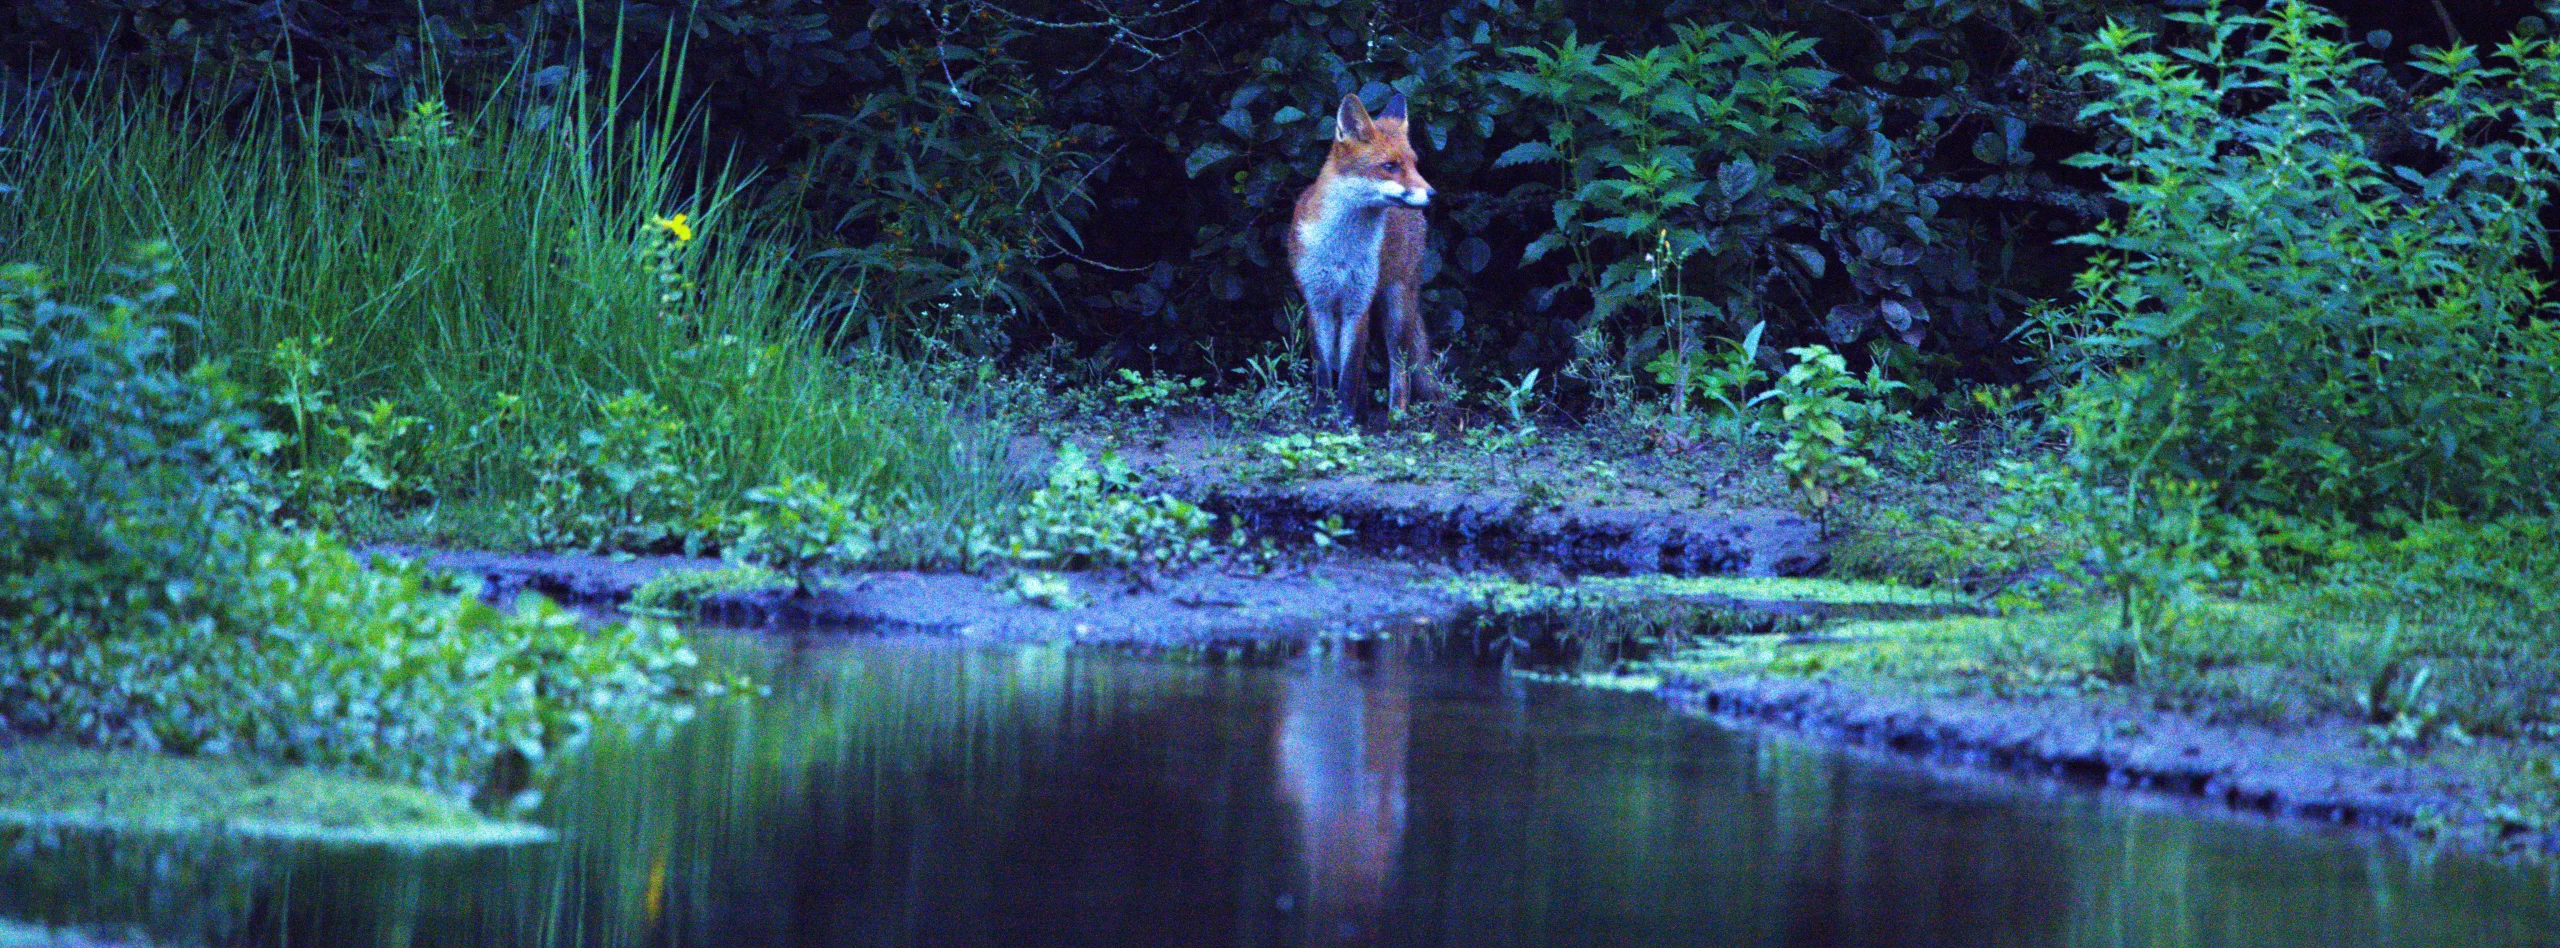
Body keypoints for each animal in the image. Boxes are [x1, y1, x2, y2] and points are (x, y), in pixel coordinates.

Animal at [1288, 92, 1439, 421]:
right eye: (1390, 166)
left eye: (1414, 164)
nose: (1432, 194)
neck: (1341, 251)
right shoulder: (1318, 304)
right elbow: (1324, 369)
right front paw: (1322, 412)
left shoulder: (1357, 304)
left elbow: (1349, 371)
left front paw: (1344, 417)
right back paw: (1365, 409)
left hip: (1397, 307)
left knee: (1399, 368)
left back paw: (1395, 414)